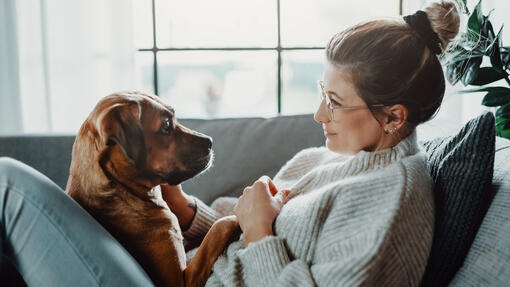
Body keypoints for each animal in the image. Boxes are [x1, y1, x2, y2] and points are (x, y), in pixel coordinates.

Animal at [66, 91, 240, 286]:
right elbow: (217, 229)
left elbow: (200, 238)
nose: (210, 141)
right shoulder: (180, 281)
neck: (122, 190)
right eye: (166, 125)